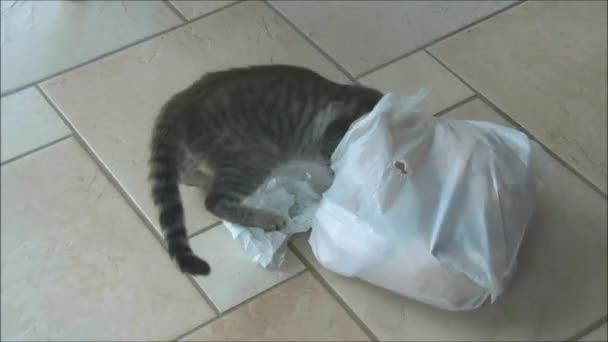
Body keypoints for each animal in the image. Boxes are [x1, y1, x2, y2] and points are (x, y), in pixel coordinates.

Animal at [150, 65, 382, 276]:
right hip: (252, 160)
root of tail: (180, 101)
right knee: (215, 201)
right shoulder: (333, 135)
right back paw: (266, 218)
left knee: (186, 175)